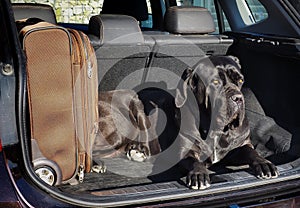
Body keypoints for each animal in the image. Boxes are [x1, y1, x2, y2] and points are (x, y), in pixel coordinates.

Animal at [138, 55, 278, 190]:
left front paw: (264, 163)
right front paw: (199, 174)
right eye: (215, 82)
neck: (215, 130)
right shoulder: (185, 151)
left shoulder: (241, 145)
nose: (238, 98)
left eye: (240, 80)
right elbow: (194, 161)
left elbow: (251, 151)